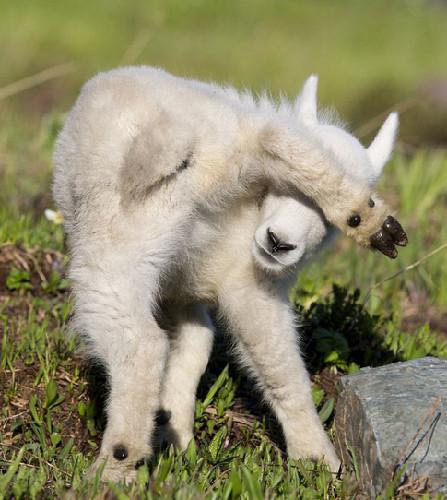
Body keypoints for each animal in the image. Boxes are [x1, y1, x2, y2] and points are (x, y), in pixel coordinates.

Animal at [54, 65, 408, 480]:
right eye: (284, 192)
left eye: (321, 221)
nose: (278, 242)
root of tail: (172, 142)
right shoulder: (236, 282)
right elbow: (264, 359)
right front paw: (315, 456)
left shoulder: (184, 287)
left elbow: (197, 342)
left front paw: (171, 430)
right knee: (274, 139)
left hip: (121, 237)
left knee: (139, 340)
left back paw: (120, 460)